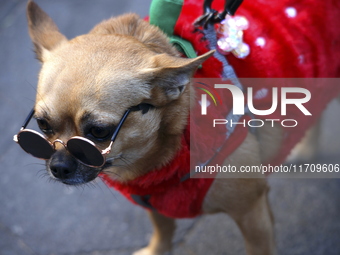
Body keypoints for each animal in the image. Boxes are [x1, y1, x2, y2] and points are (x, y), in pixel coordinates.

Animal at [19, 1, 278, 255]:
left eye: (100, 131)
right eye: (42, 124)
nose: (58, 166)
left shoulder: (252, 214)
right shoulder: (154, 205)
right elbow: (162, 230)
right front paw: (156, 249)